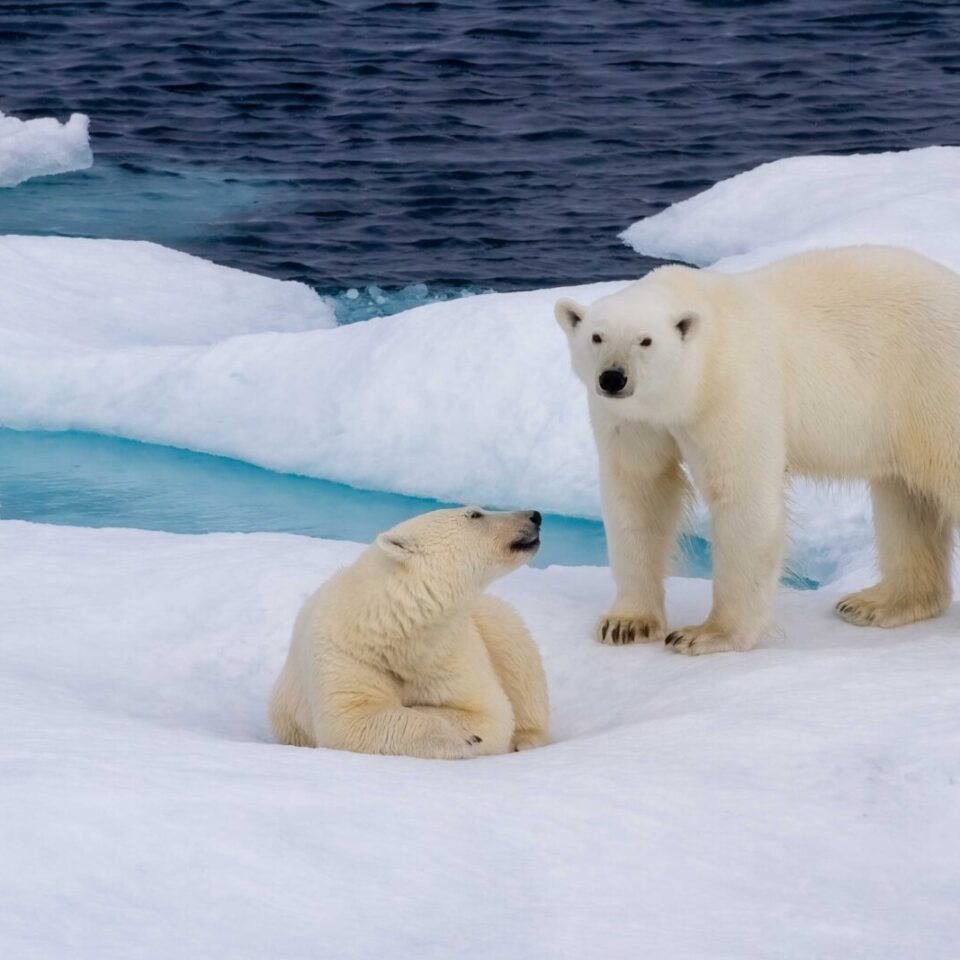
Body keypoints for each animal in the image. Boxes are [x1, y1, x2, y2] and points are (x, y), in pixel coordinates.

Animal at [268, 506, 548, 760]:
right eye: (475, 514)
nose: (534, 515)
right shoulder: (345, 655)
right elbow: (351, 719)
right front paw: (461, 736)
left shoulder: (450, 655)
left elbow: (490, 712)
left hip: (489, 620)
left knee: (517, 655)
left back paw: (526, 740)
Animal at [560, 244, 960, 656]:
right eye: (597, 337)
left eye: (645, 340)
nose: (613, 378)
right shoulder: (634, 421)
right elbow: (639, 490)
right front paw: (626, 623)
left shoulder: (731, 388)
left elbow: (741, 493)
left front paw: (705, 634)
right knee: (905, 497)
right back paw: (875, 603)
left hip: (932, 381)